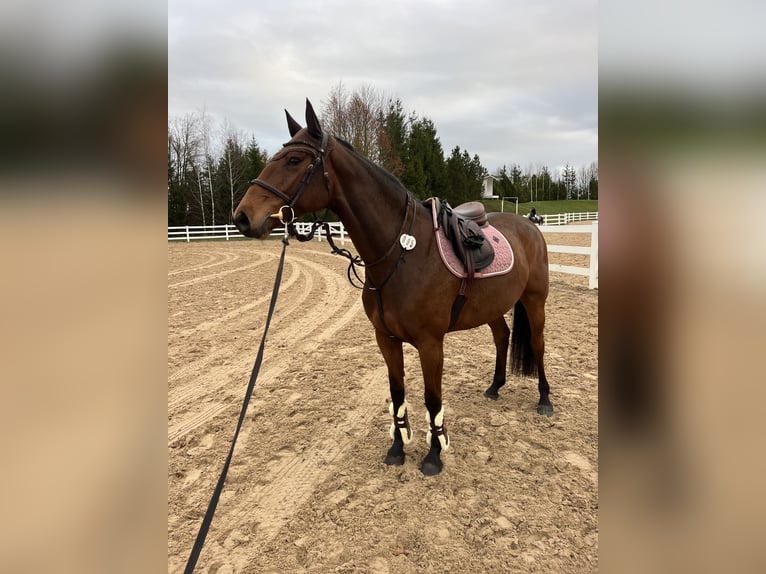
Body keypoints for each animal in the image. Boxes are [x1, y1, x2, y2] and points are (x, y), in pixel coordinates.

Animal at [233, 99, 553, 476]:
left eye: (294, 160)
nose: (242, 217)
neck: (402, 254)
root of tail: (528, 226)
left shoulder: (431, 344)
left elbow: (432, 399)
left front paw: (433, 455)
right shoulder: (385, 339)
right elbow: (397, 393)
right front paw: (398, 449)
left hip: (534, 301)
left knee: (538, 344)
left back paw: (544, 399)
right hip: (492, 306)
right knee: (502, 337)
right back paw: (494, 386)